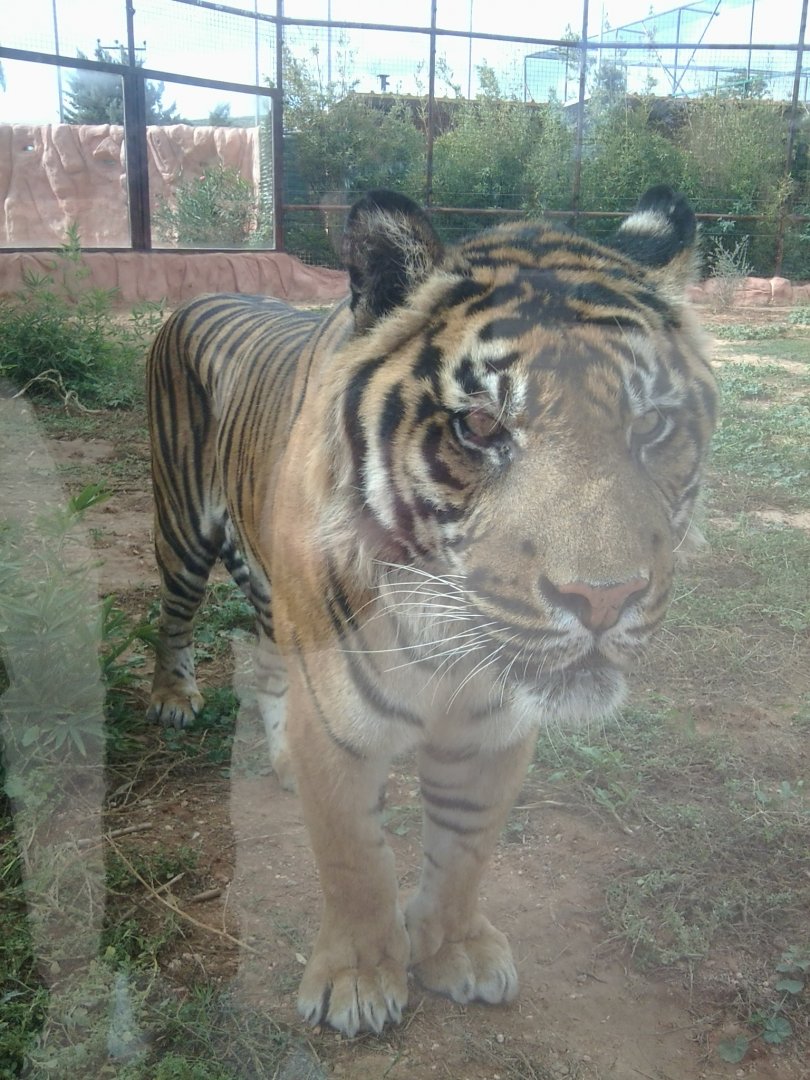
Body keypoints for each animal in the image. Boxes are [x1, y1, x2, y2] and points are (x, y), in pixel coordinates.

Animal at [146, 186, 717, 1037]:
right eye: (480, 426)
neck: (448, 643)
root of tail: (199, 294)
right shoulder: (339, 721)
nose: (605, 598)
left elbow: (464, 850)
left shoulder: (495, 725)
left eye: (650, 427)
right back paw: (174, 698)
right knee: (174, 618)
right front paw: (357, 982)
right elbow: (354, 859)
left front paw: (454, 952)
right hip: (184, 530)